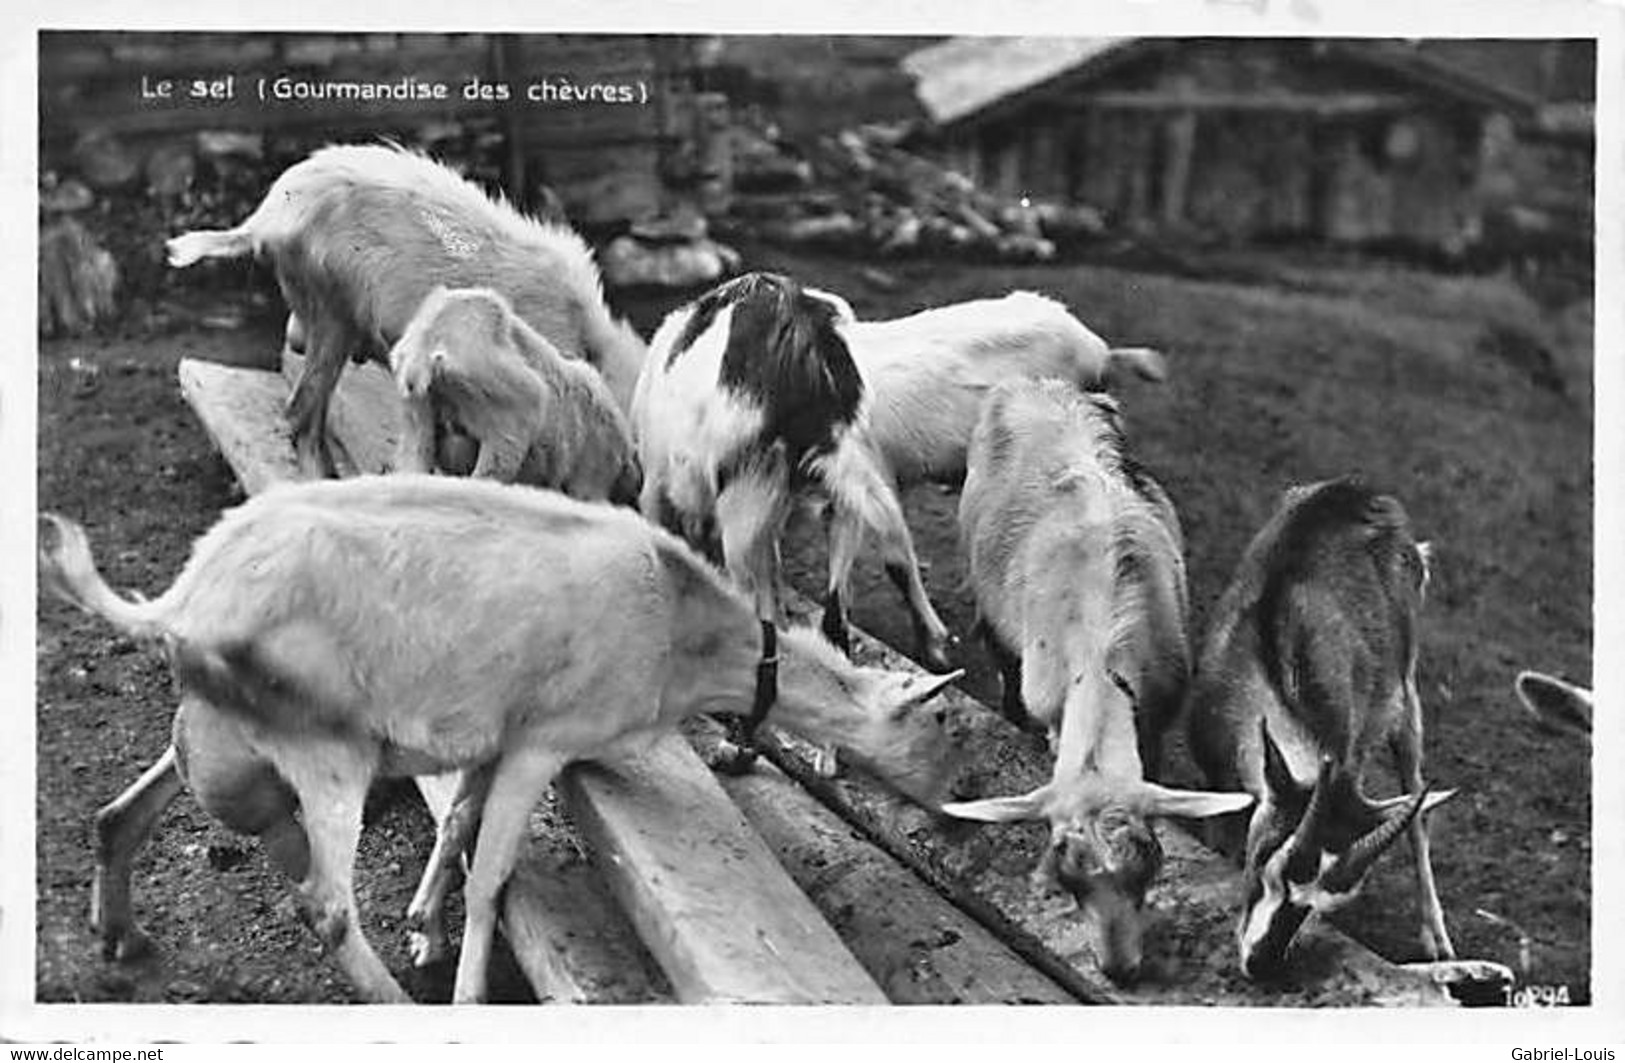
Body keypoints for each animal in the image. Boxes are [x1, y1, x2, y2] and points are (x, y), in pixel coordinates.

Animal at [41, 474, 962, 1007]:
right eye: (944, 723)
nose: (956, 818)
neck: (689, 634)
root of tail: (184, 595)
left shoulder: (496, 731)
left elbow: (455, 820)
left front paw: (423, 924)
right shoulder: (543, 741)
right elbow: (492, 876)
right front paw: (464, 990)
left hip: (214, 729)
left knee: (121, 811)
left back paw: (120, 934)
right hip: (322, 746)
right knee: (326, 906)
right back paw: (394, 1004)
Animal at [936, 378, 1248, 988]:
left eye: (1150, 866)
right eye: (1069, 881)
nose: (1119, 971)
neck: (1100, 662)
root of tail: (1031, 383)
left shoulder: (1156, 714)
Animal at [1183, 481, 1462, 981]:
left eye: (1324, 904)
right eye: (1270, 864)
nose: (1261, 963)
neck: (1266, 672)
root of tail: (1365, 494)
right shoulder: (1216, 780)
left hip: (1405, 697)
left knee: (1417, 804)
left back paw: (1438, 940)